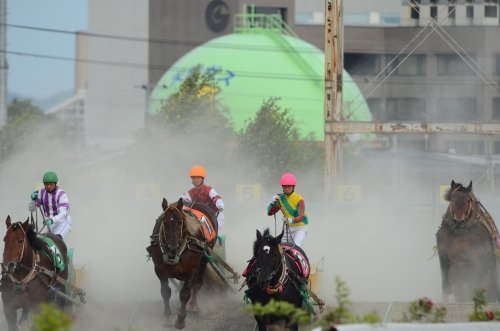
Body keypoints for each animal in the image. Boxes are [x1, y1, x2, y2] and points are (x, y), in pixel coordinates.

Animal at [148, 197, 219, 330]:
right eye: (164, 222)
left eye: (180, 222)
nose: (172, 248)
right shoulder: (159, 269)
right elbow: (165, 292)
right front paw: (167, 317)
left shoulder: (192, 270)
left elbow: (185, 294)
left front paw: (180, 320)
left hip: (205, 259)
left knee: (198, 283)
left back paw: (193, 305)